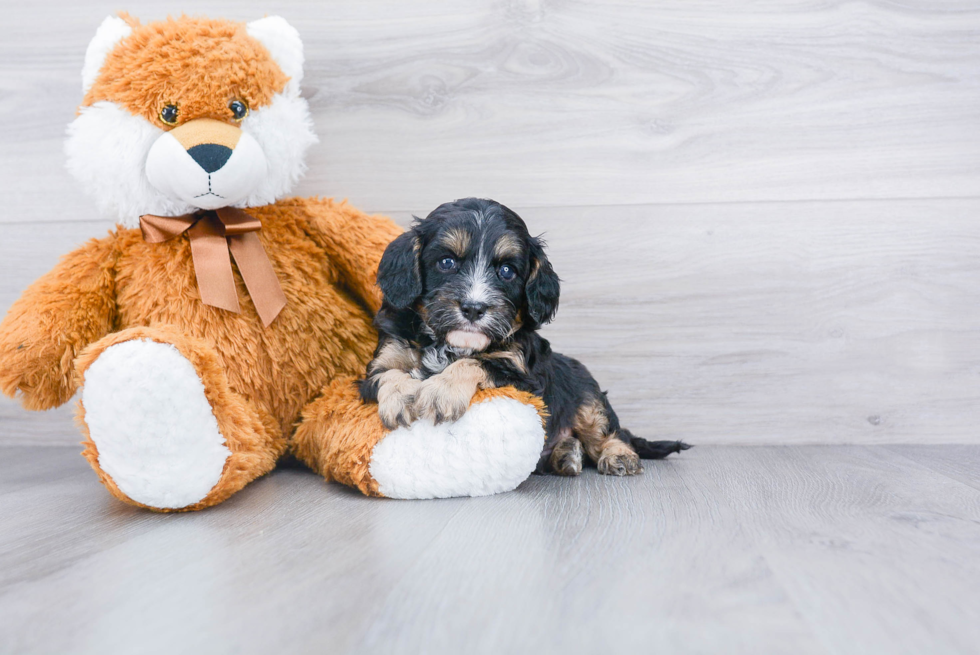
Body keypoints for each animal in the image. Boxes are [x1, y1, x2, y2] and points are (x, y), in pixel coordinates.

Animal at [360, 197, 688, 474]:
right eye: (446, 262)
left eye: (506, 271)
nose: (474, 308)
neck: (449, 343)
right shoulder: (381, 360)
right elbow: (388, 374)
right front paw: (402, 398)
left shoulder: (523, 376)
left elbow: (476, 363)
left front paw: (442, 390)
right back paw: (566, 454)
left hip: (588, 396)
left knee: (609, 431)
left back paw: (617, 455)